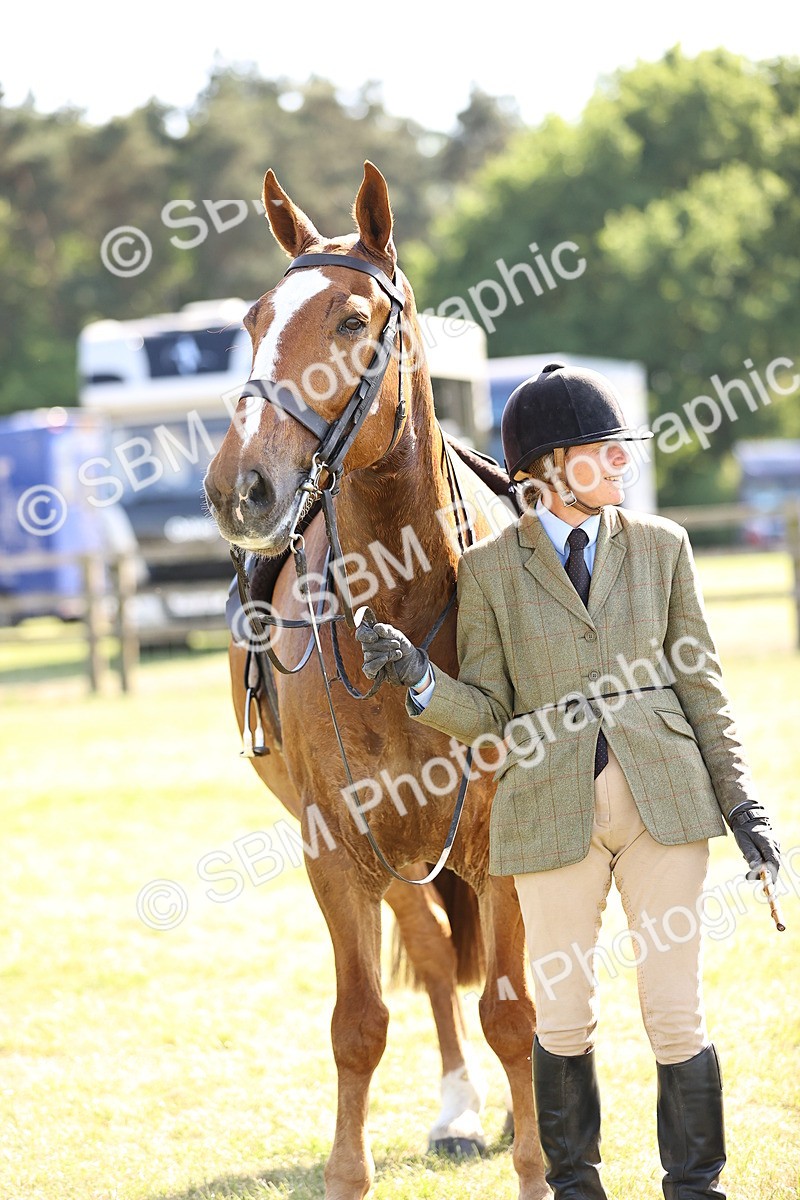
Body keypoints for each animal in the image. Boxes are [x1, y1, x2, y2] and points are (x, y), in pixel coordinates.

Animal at [203, 161, 550, 1200]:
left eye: (354, 319)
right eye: (254, 319)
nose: (240, 487)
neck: (408, 601)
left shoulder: (505, 836)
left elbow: (516, 1013)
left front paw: (544, 1161)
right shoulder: (338, 846)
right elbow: (360, 1026)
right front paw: (351, 1166)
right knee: (434, 952)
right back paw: (459, 1111)